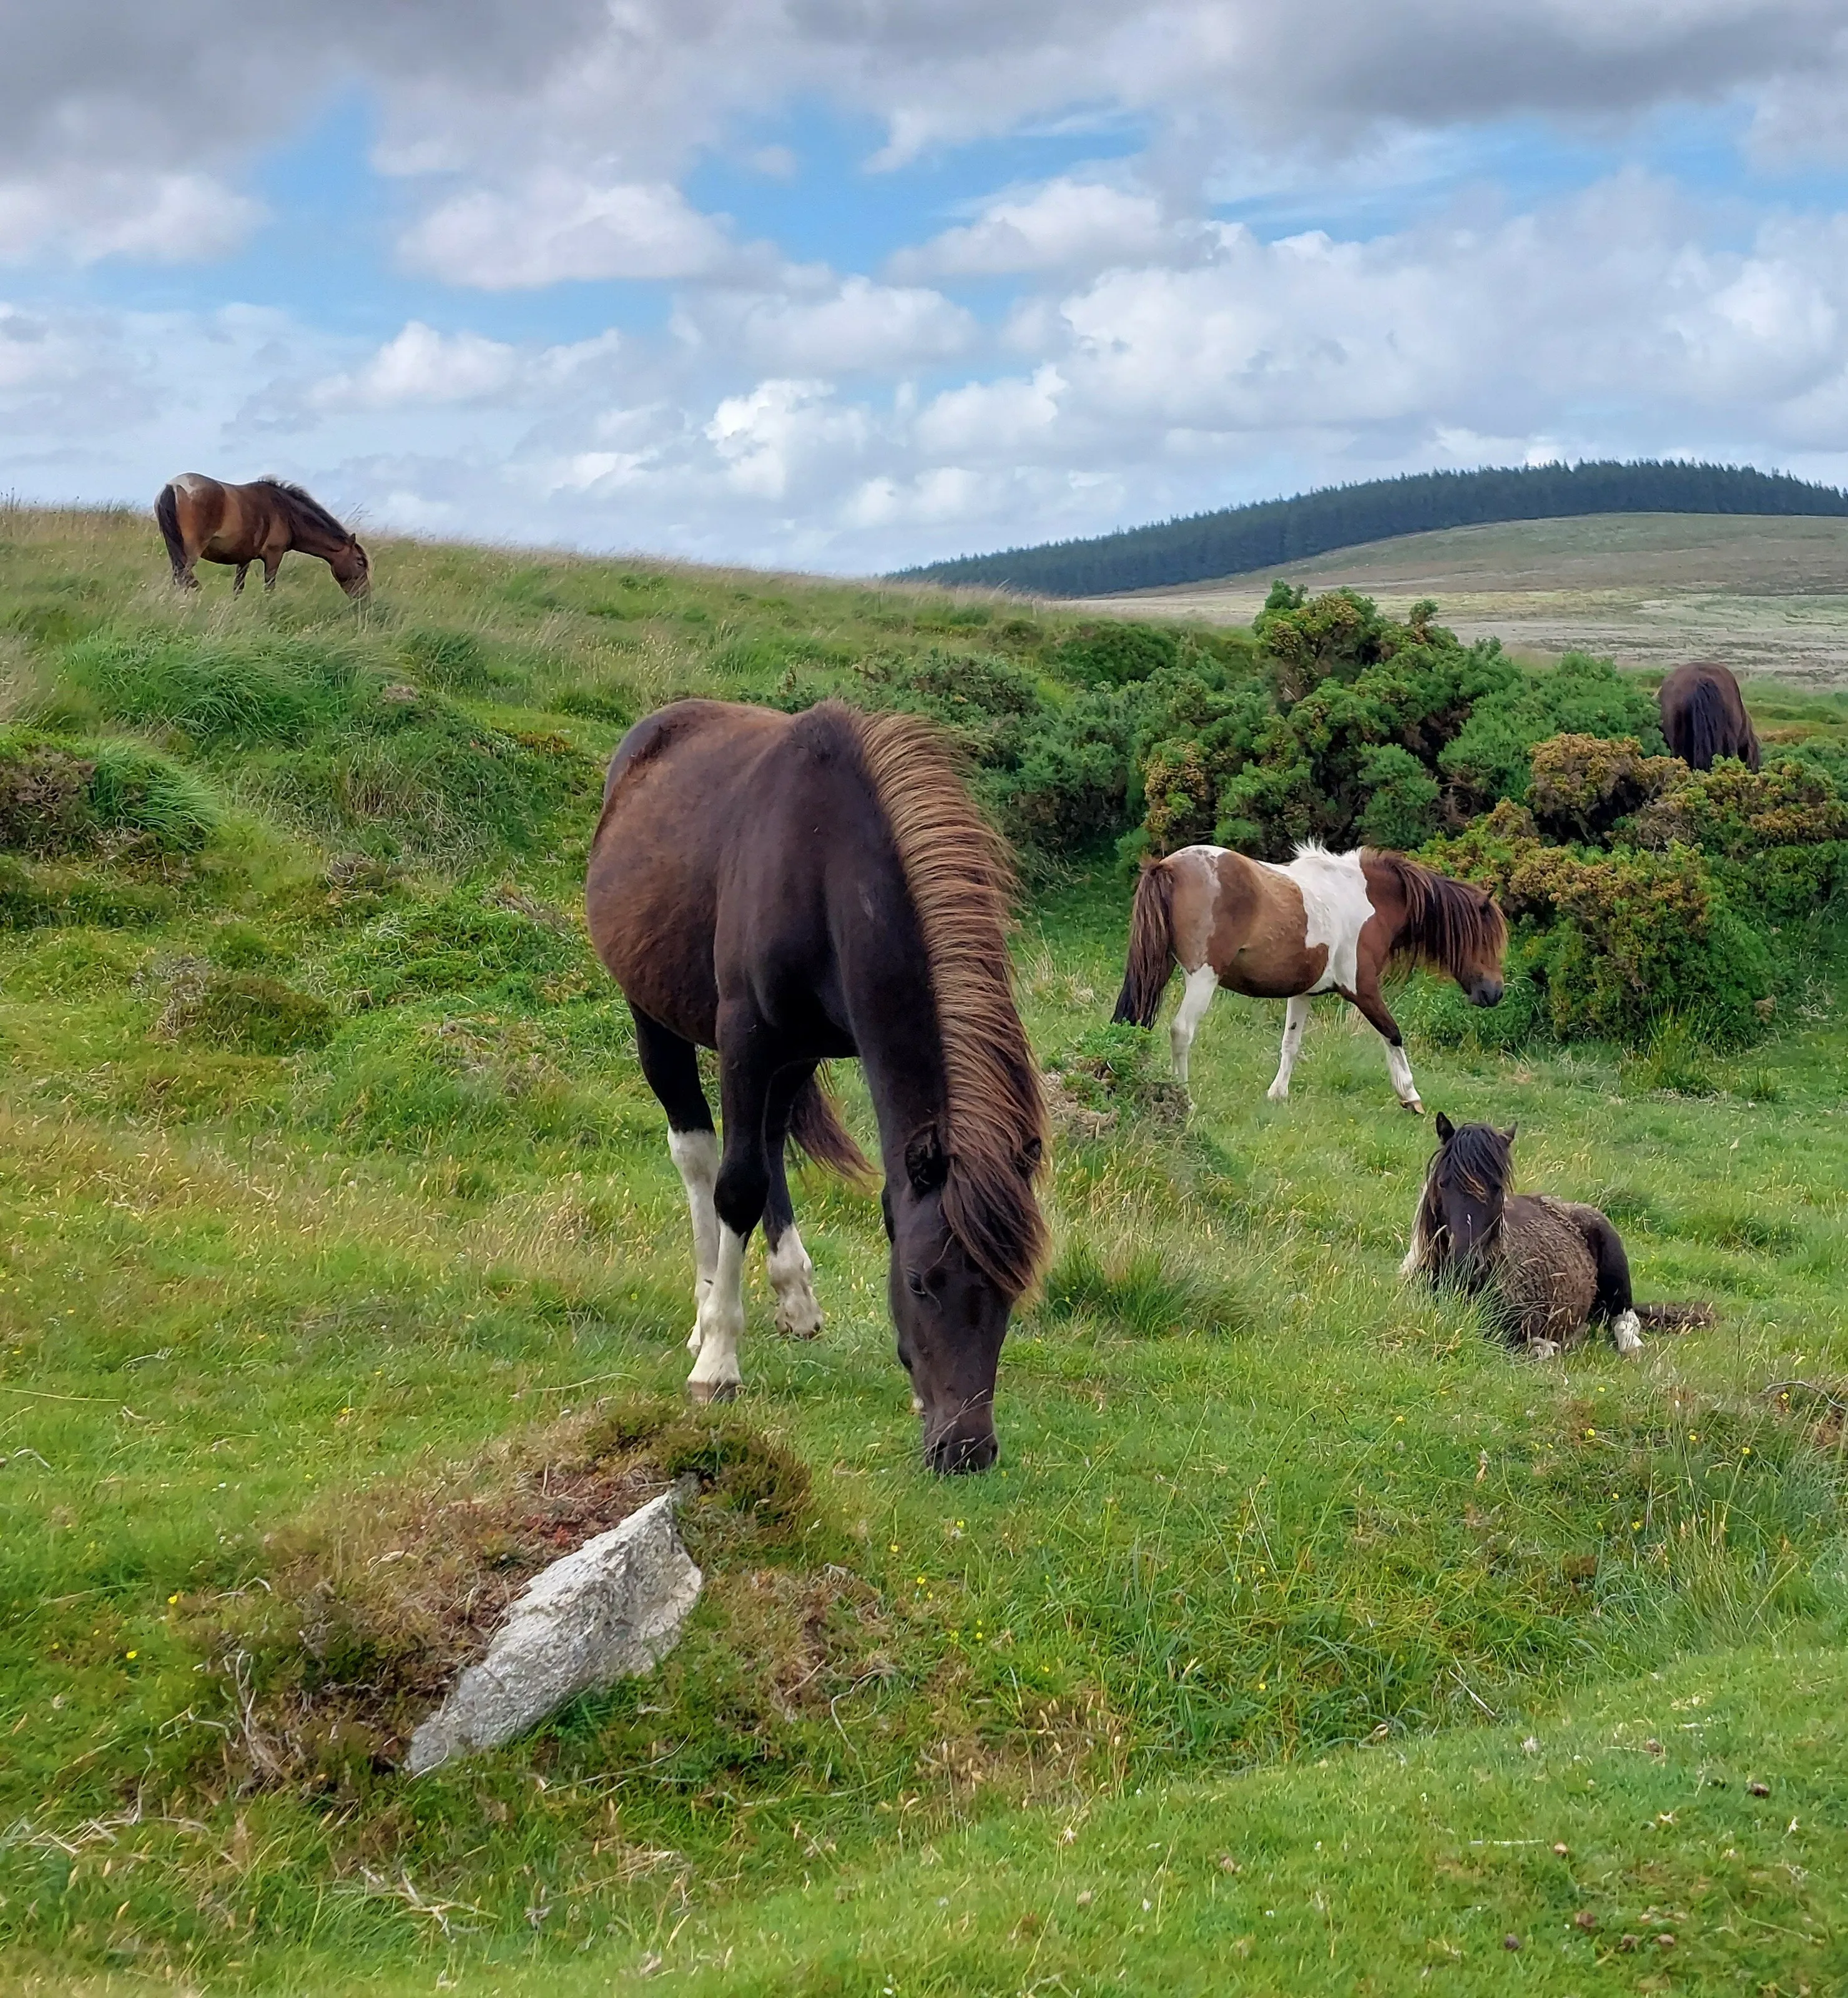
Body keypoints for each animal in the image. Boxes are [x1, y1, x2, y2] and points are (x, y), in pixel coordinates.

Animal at [155, 474, 371, 598]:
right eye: (360, 562)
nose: (365, 597)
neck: (286, 512)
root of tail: (173, 486)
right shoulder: (274, 556)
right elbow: (269, 587)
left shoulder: (244, 558)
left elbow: (238, 588)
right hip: (190, 552)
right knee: (183, 577)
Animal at [585, 697, 1049, 1474]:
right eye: (919, 1281)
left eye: (1012, 1291)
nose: (965, 1449)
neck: (824, 863)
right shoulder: (746, 1035)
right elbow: (735, 1186)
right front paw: (718, 1363)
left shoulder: (804, 1047)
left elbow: (771, 1158)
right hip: (653, 1016)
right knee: (699, 1153)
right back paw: (706, 1309)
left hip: (792, 1052)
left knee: (768, 1141)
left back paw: (792, 1293)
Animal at [1112, 843, 1507, 1113]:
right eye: (1483, 941)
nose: (1495, 993)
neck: (1369, 900)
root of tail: (1168, 865)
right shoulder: (1363, 990)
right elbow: (1393, 1035)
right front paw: (1411, 1097)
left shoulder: (1302, 993)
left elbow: (1291, 1043)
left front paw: (1278, 1094)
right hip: (1202, 978)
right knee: (1181, 1031)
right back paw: (1185, 1100)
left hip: (1159, 969)